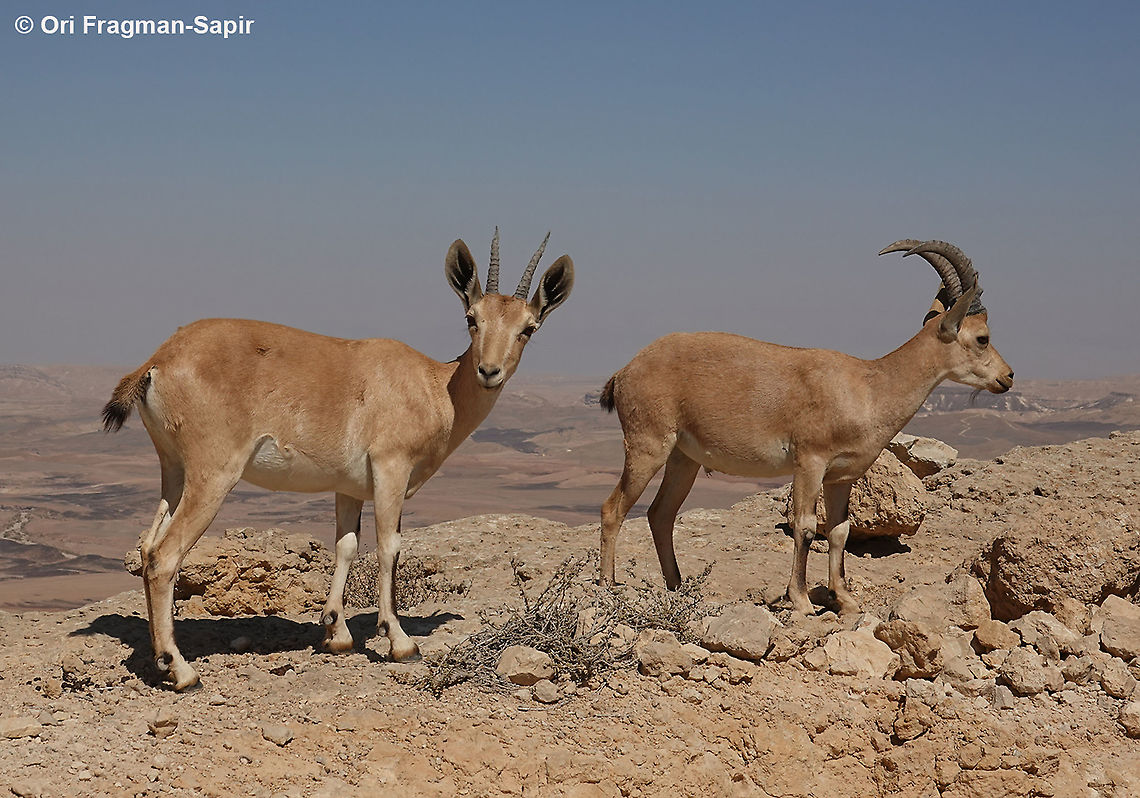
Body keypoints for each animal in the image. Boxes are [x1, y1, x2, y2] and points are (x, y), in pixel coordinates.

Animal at [102, 230, 574, 690]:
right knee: (165, 557)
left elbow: (346, 545)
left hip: (175, 470)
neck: (435, 388)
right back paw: (182, 671)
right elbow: (389, 546)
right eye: (472, 318)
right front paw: (400, 642)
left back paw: (158, 661)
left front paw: (337, 634)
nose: (489, 371)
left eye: (528, 328)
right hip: (213, 474)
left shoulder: (349, 487)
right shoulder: (391, 468)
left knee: (148, 547)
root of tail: (159, 361)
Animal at [597, 240, 1012, 614]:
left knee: (660, 514)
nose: (1007, 377)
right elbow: (807, 526)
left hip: (684, 459)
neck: (869, 386)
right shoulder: (810, 462)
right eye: (982, 338)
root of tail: (625, 371)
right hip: (647, 445)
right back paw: (607, 585)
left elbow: (840, 531)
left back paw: (677, 587)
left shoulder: (842, 476)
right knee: (612, 508)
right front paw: (800, 600)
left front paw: (844, 599)